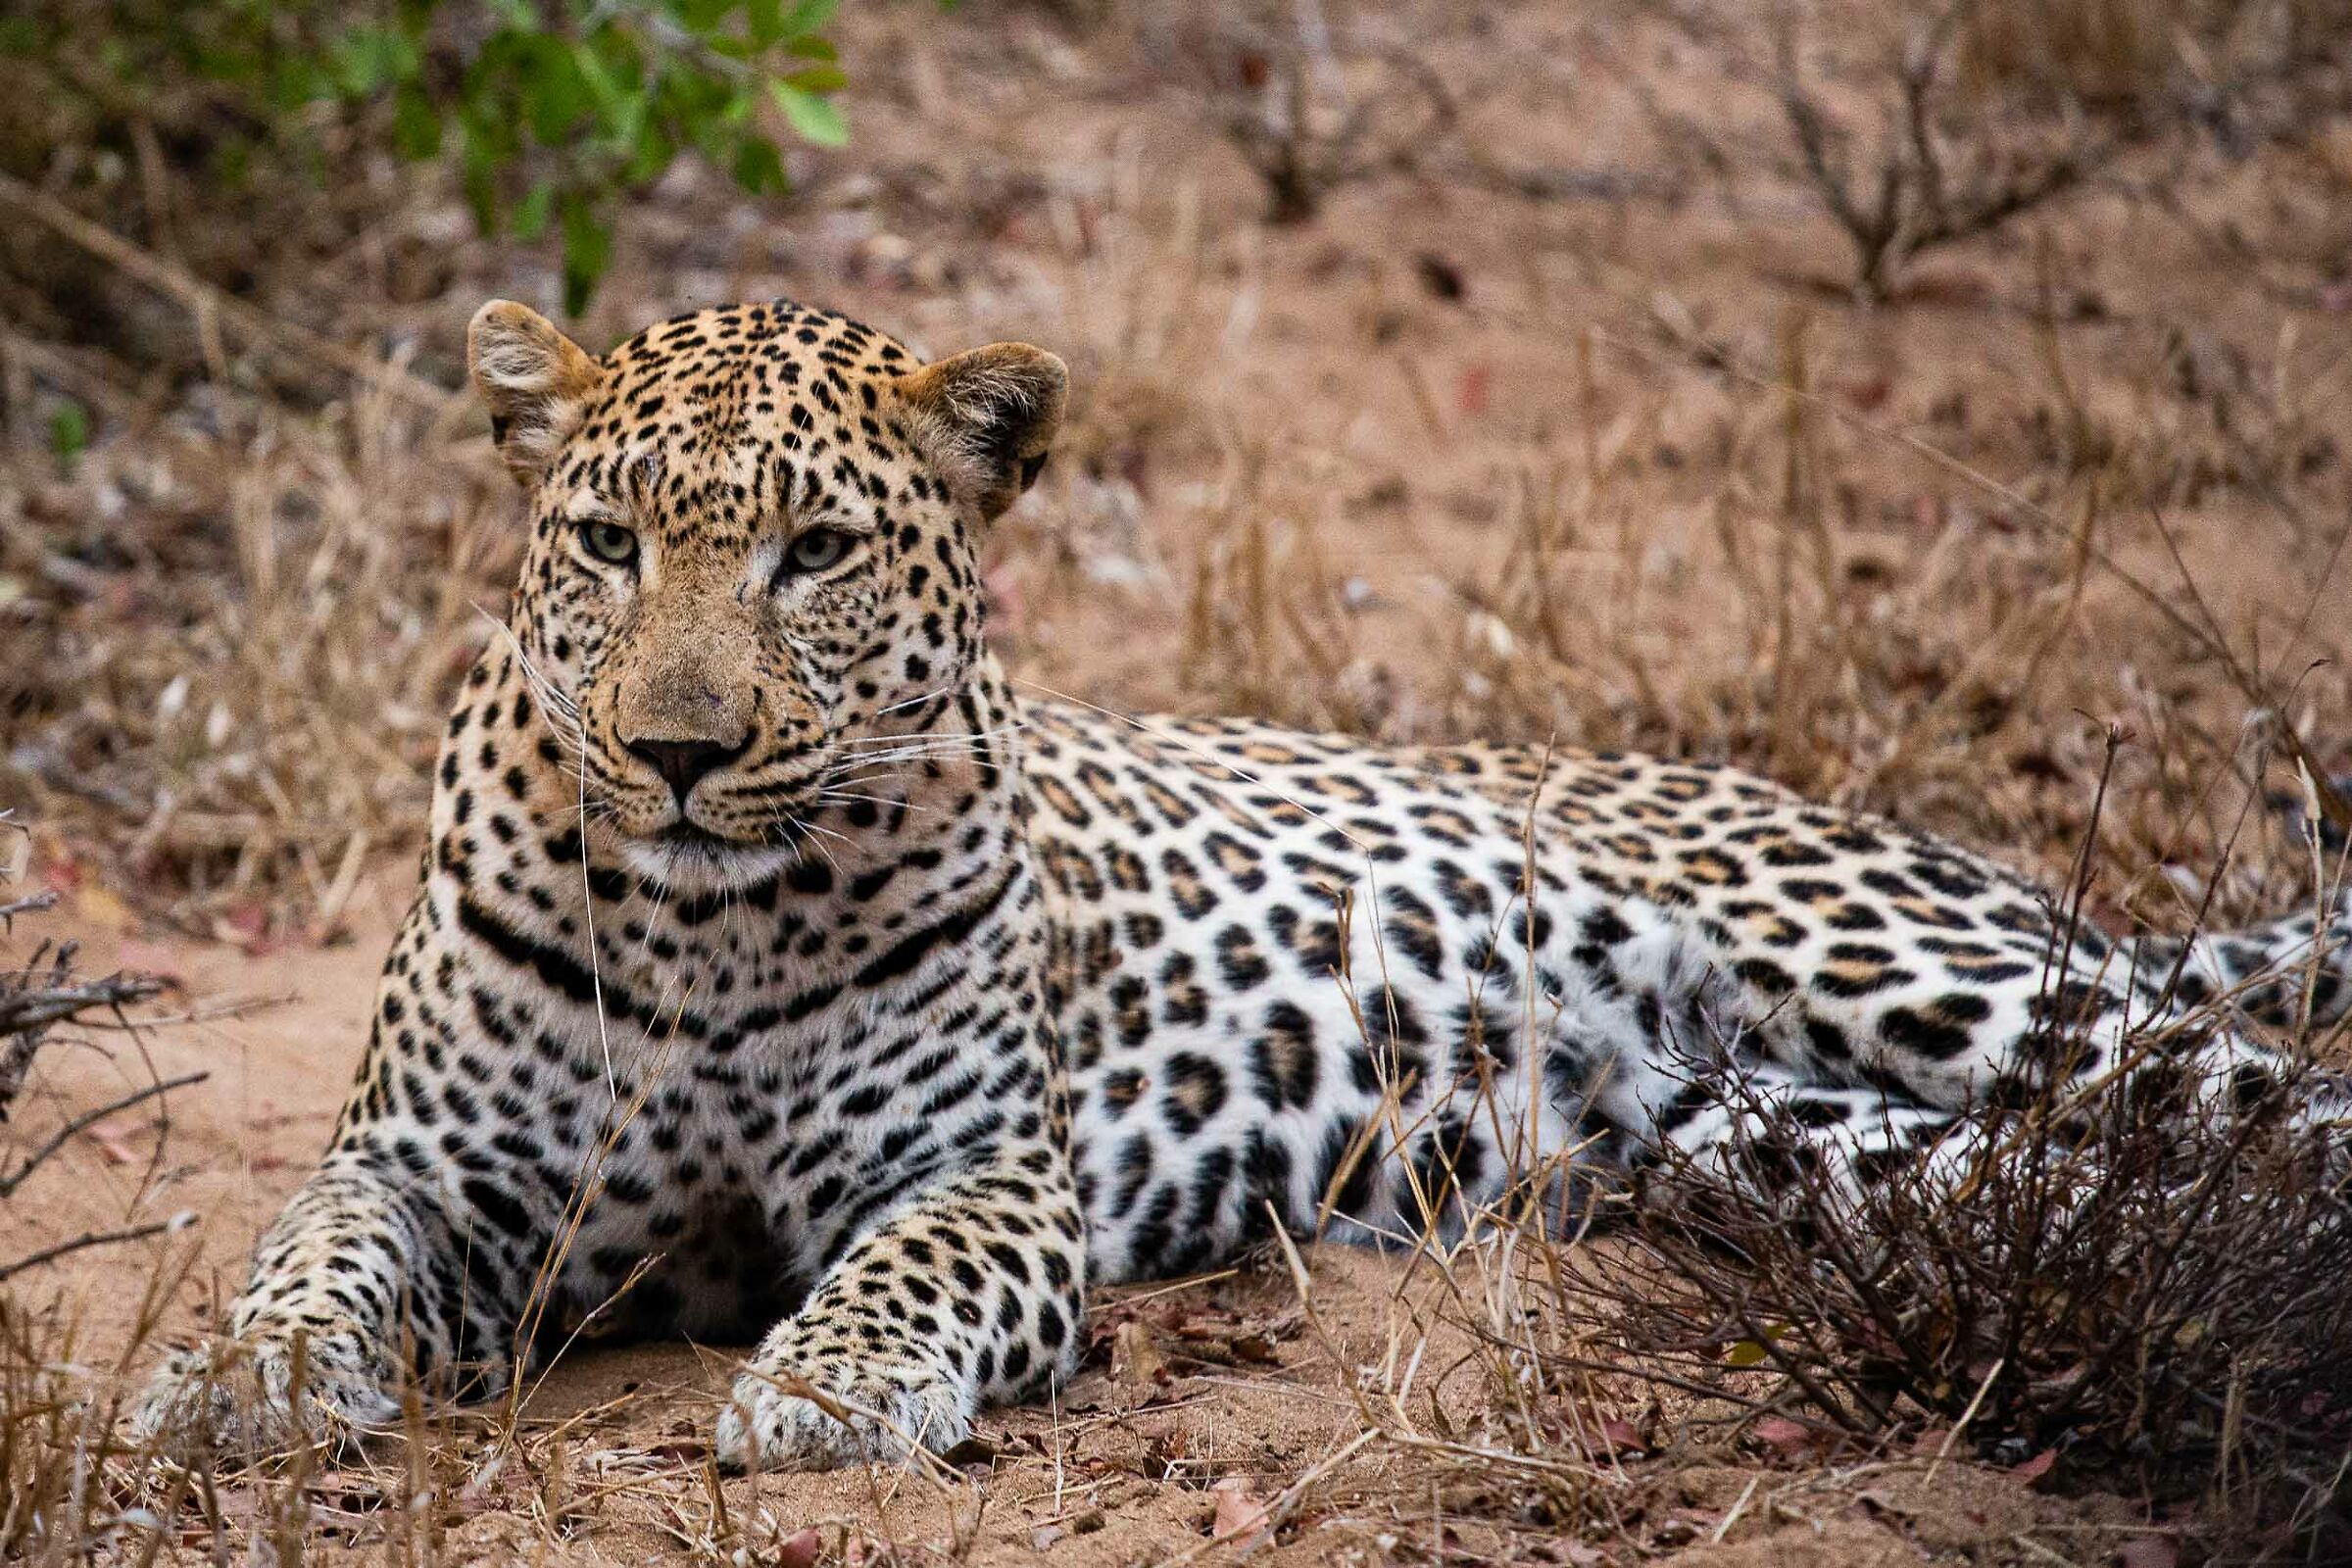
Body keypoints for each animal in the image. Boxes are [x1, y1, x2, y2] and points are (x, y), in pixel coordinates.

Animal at [133, 298, 2352, 1472]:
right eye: (603, 544)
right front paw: (240, 1377)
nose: (676, 747)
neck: (704, 917)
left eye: (811, 554)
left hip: (1950, 982)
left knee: (2271, 1097)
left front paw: (825, 1393)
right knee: (2135, 1185)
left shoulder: (982, 1174)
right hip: (1819, 1144)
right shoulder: (436, 1172)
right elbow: (313, 1247)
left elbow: (899, 1271)